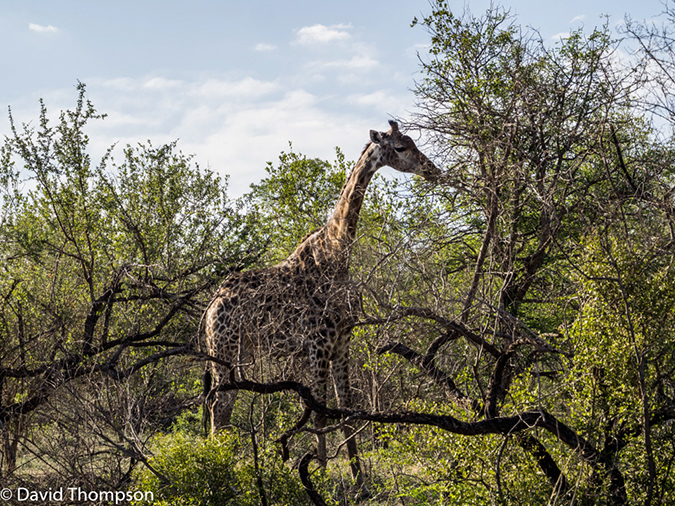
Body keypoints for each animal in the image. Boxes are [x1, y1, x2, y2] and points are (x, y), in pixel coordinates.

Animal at [203, 119, 440, 486]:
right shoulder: (319, 344)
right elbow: (319, 412)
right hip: (223, 350)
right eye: (401, 147)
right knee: (219, 405)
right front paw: (322, 473)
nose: (432, 170)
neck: (337, 254)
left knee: (223, 405)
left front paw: (359, 479)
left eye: (413, 142)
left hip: (238, 352)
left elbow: (347, 409)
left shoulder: (342, 342)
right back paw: (220, 468)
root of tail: (210, 307)